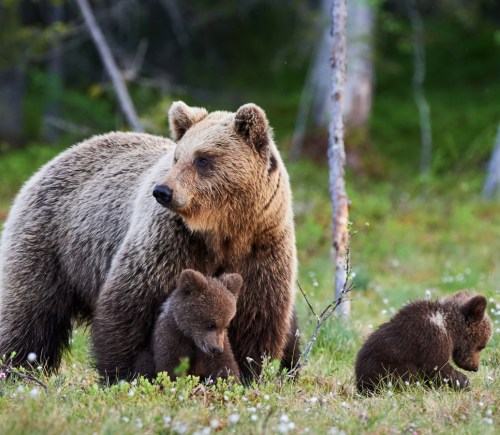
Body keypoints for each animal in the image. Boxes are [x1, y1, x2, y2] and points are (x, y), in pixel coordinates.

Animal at [0, 101, 298, 382]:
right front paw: (124, 373)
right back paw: (16, 366)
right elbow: (130, 304)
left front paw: (249, 372)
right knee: (29, 311)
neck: (223, 230)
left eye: (203, 159)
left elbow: (255, 315)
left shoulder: (261, 247)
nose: (163, 191)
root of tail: (59, 156)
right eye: (177, 157)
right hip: (52, 241)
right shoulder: (171, 242)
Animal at [356, 292, 492, 394]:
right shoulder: (432, 339)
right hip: (386, 367)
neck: (449, 327)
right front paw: (464, 382)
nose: (475, 367)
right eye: (482, 346)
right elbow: (436, 367)